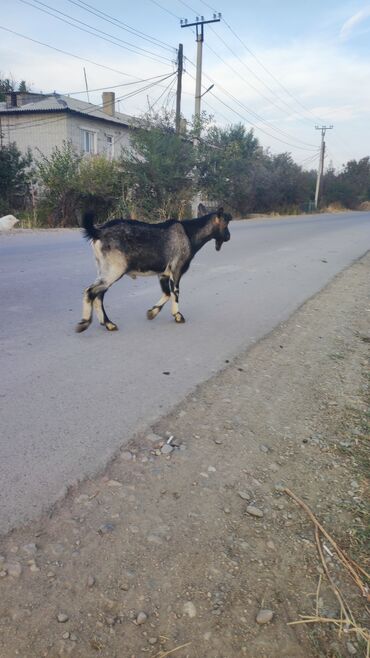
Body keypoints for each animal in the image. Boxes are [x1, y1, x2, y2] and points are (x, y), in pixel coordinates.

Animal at [75, 206, 231, 334]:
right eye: (226, 224)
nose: (229, 237)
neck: (189, 232)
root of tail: (98, 232)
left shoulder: (163, 274)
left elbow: (167, 293)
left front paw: (152, 312)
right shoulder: (177, 269)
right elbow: (175, 292)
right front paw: (178, 316)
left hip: (104, 270)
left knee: (98, 295)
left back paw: (108, 324)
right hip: (114, 270)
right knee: (90, 291)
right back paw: (84, 323)